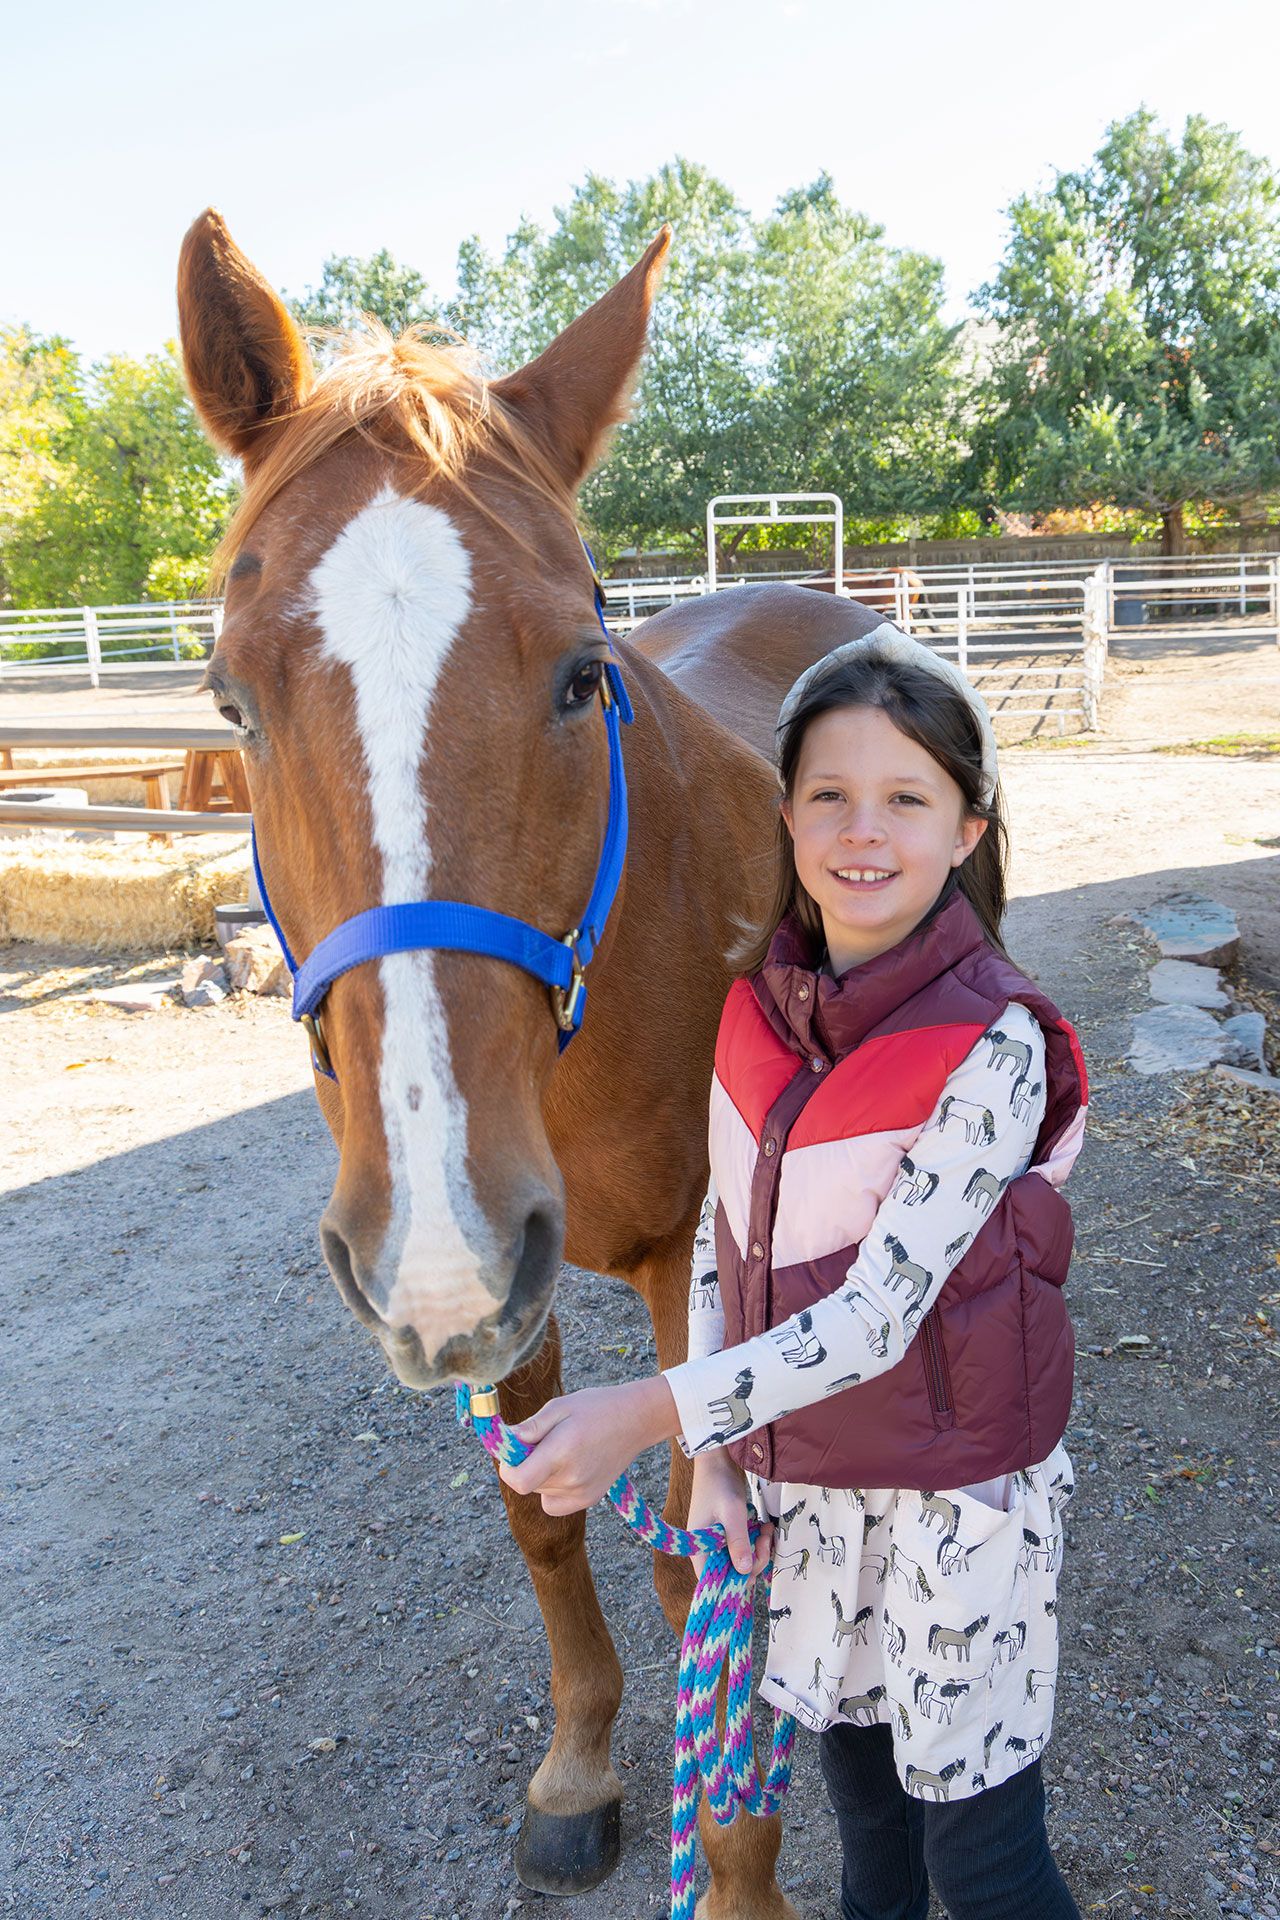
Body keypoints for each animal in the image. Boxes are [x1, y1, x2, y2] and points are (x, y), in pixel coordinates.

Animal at [177, 209, 889, 1919]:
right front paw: (579, 1766)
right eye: (231, 696)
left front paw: (743, 1874)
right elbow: (543, 1520)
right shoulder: (492, 1269)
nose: (434, 1246)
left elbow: (707, 1557)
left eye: (581, 670)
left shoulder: (685, 1249)